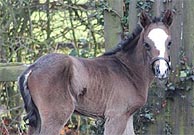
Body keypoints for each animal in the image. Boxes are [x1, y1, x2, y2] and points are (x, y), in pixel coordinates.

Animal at [18, 10, 173, 134]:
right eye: (146, 44)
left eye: (169, 43)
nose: (161, 70)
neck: (128, 70)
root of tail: (33, 67)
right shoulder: (116, 116)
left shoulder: (128, 116)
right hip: (56, 116)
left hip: (37, 118)